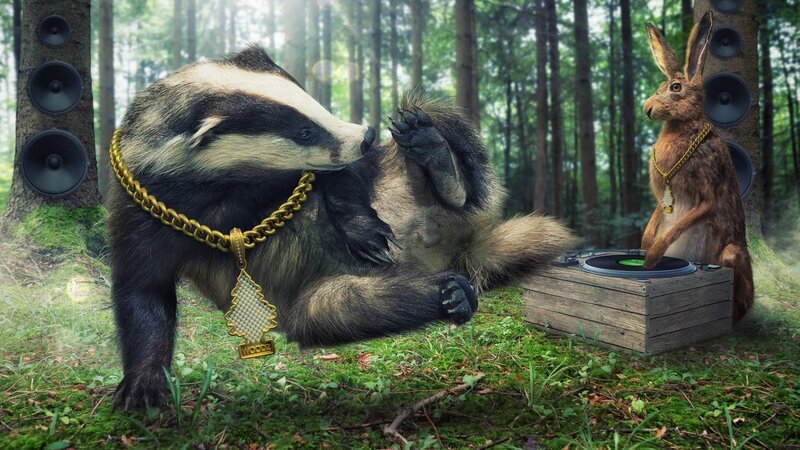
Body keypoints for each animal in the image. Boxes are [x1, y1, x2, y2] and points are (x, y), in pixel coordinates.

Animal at [640, 11, 754, 323]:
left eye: (675, 88)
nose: (647, 109)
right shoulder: (663, 198)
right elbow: (656, 217)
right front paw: (643, 245)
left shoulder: (706, 194)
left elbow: (679, 225)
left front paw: (651, 257)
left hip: (731, 256)